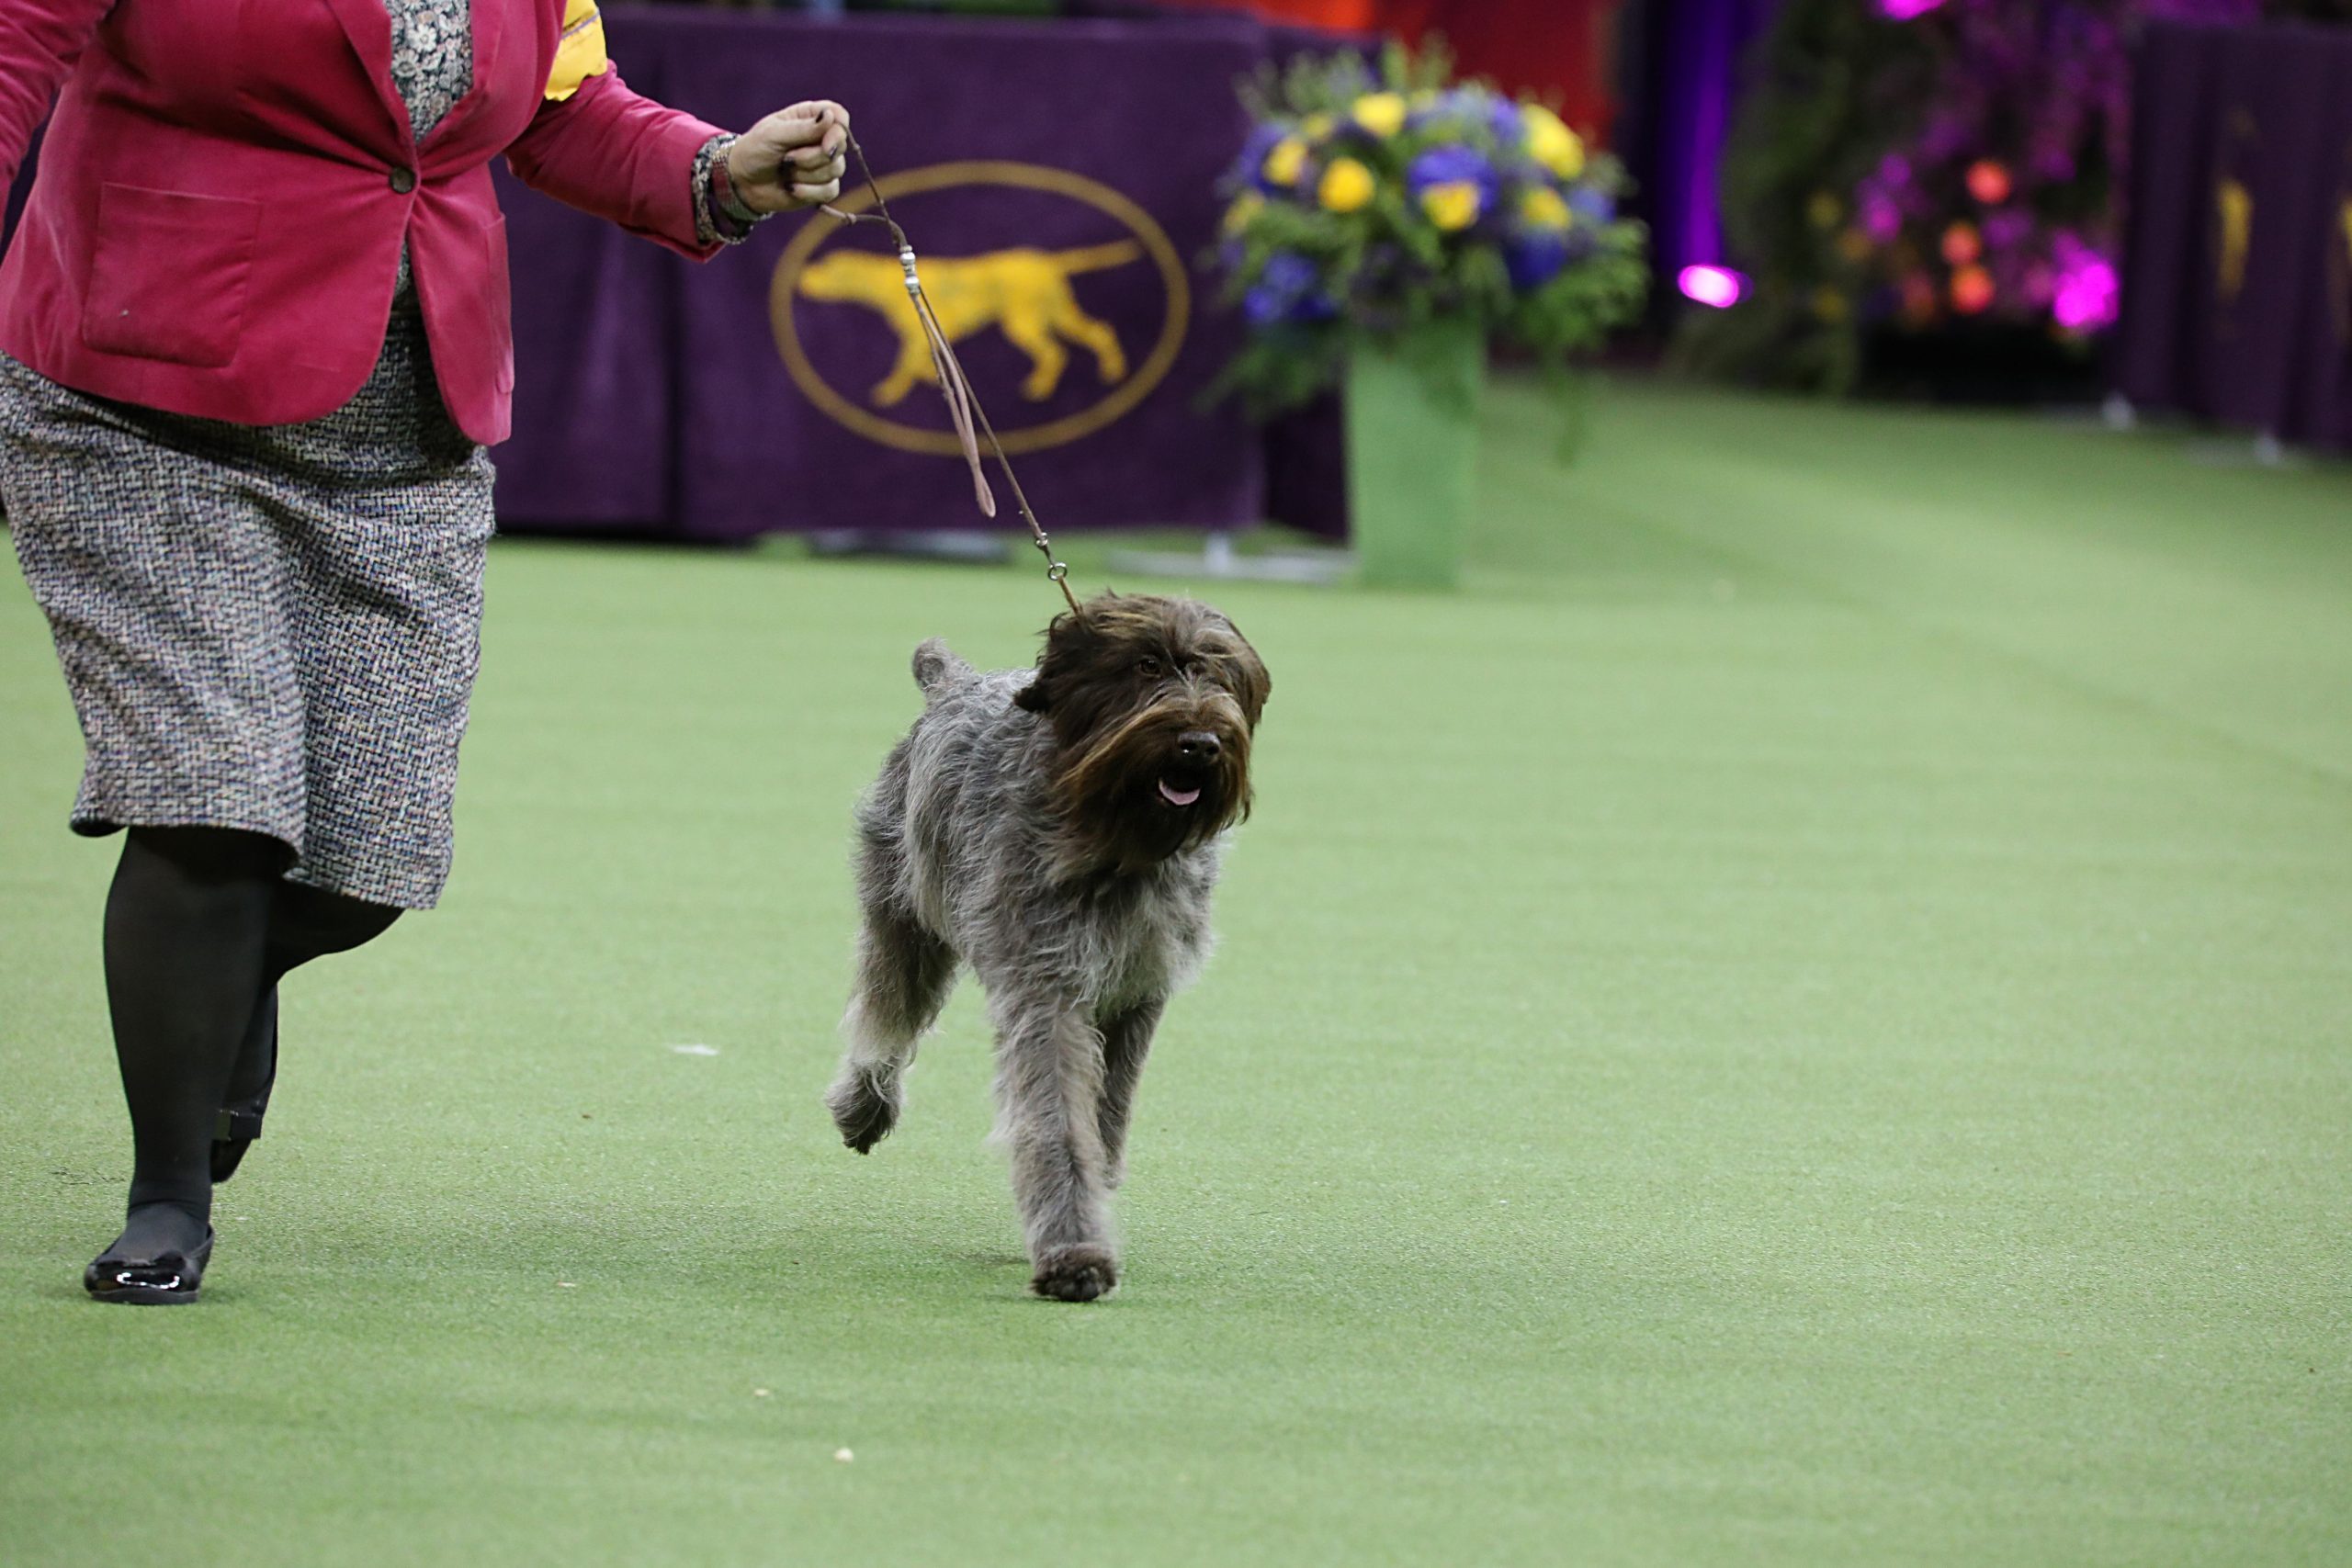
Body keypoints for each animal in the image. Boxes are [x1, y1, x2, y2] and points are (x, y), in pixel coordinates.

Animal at [828, 587, 1270, 1297]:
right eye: (1146, 666)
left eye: (1219, 672)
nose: (1199, 743)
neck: (1113, 834)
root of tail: (953, 682)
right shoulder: (1046, 987)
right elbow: (1057, 1120)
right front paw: (1074, 1250)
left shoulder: (1137, 995)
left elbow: (1104, 1116)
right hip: (906, 916)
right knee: (883, 1015)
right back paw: (863, 1106)